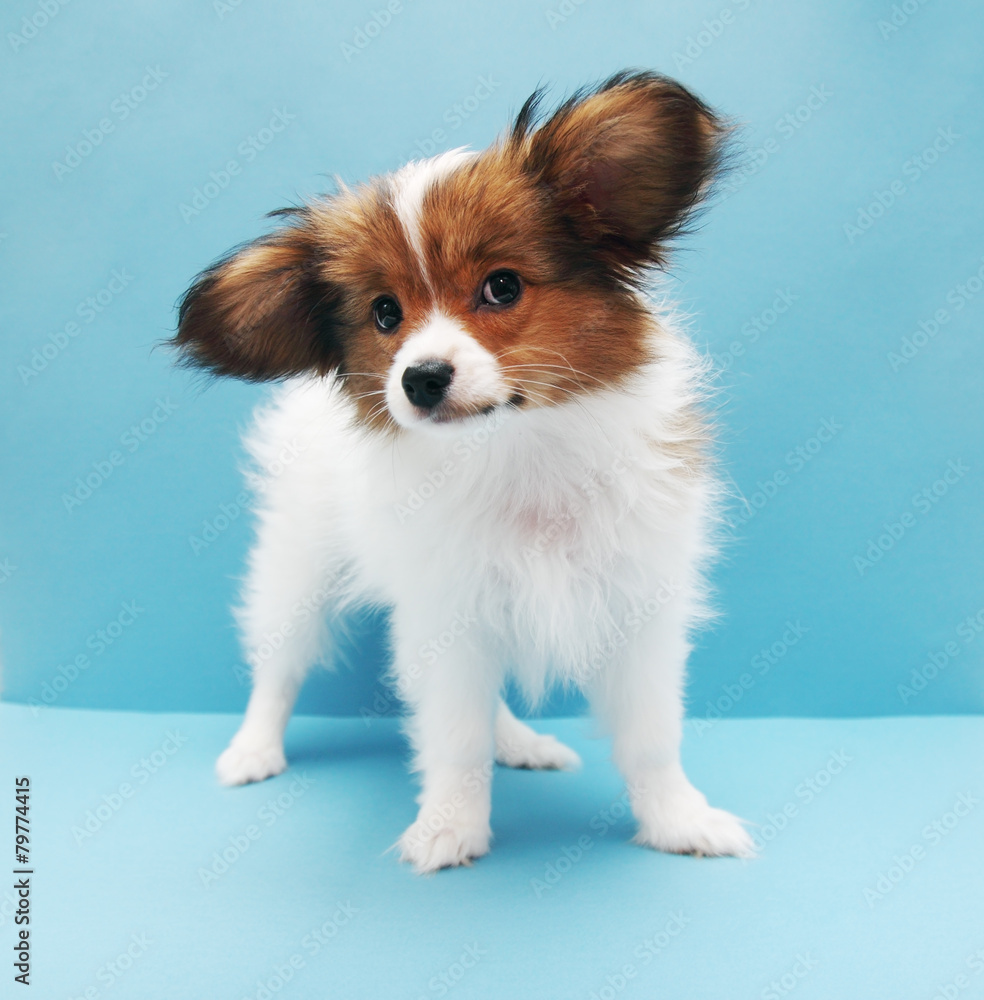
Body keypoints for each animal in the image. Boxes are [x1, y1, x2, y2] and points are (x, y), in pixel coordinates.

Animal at [175, 68, 752, 868]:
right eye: (385, 314)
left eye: (502, 286)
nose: (419, 378)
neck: (517, 449)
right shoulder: (444, 614)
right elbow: (452, 738)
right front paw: (448, 826)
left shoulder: (638, 610)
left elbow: (651, 739)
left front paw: (679, 821)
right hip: (297, 566)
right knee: (279, 666)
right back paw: (253, 749)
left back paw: (519, 742)